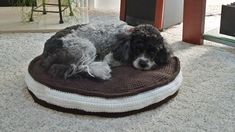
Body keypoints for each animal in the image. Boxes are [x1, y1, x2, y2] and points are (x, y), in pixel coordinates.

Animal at [39, 23, 171, 80]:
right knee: (81, 67)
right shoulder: (112, 54)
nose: (143, 63)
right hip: (86, 46)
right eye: (137, 48)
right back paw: (102, 70)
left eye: (153, 52)